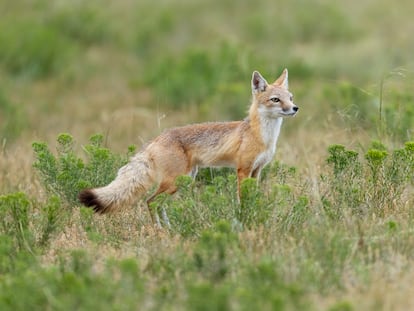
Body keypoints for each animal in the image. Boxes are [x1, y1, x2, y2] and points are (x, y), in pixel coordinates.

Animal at [78, 69, 298, 228]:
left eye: (291, 97)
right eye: (276, 99)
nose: (295, 108)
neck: (262, 136)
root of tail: (157, 138)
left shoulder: (257, 170)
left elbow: (254, 197)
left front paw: (255, 213)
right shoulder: (243, 170)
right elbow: (242, 200)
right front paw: (245, 218)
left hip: (184, 180)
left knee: (159, 203)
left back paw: (169, 229)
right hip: (175, 181)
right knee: (150, 201)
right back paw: (159, 231)